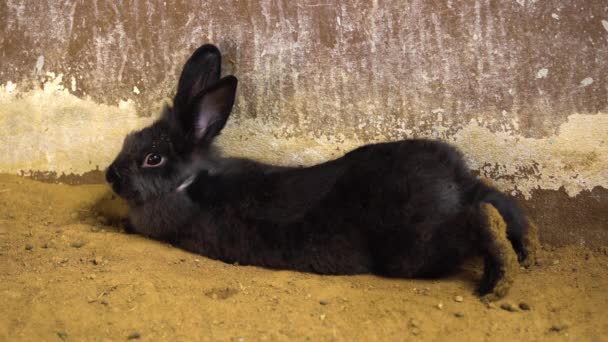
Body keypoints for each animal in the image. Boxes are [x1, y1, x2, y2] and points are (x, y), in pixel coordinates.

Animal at [107, 44, 540, 300]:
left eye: (152, 159)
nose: (111, 176)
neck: (187, 183)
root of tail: (451, 179)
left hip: (416, 249)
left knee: (479, 221)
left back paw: (496, 281)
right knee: (501, 205)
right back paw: (527, 252)